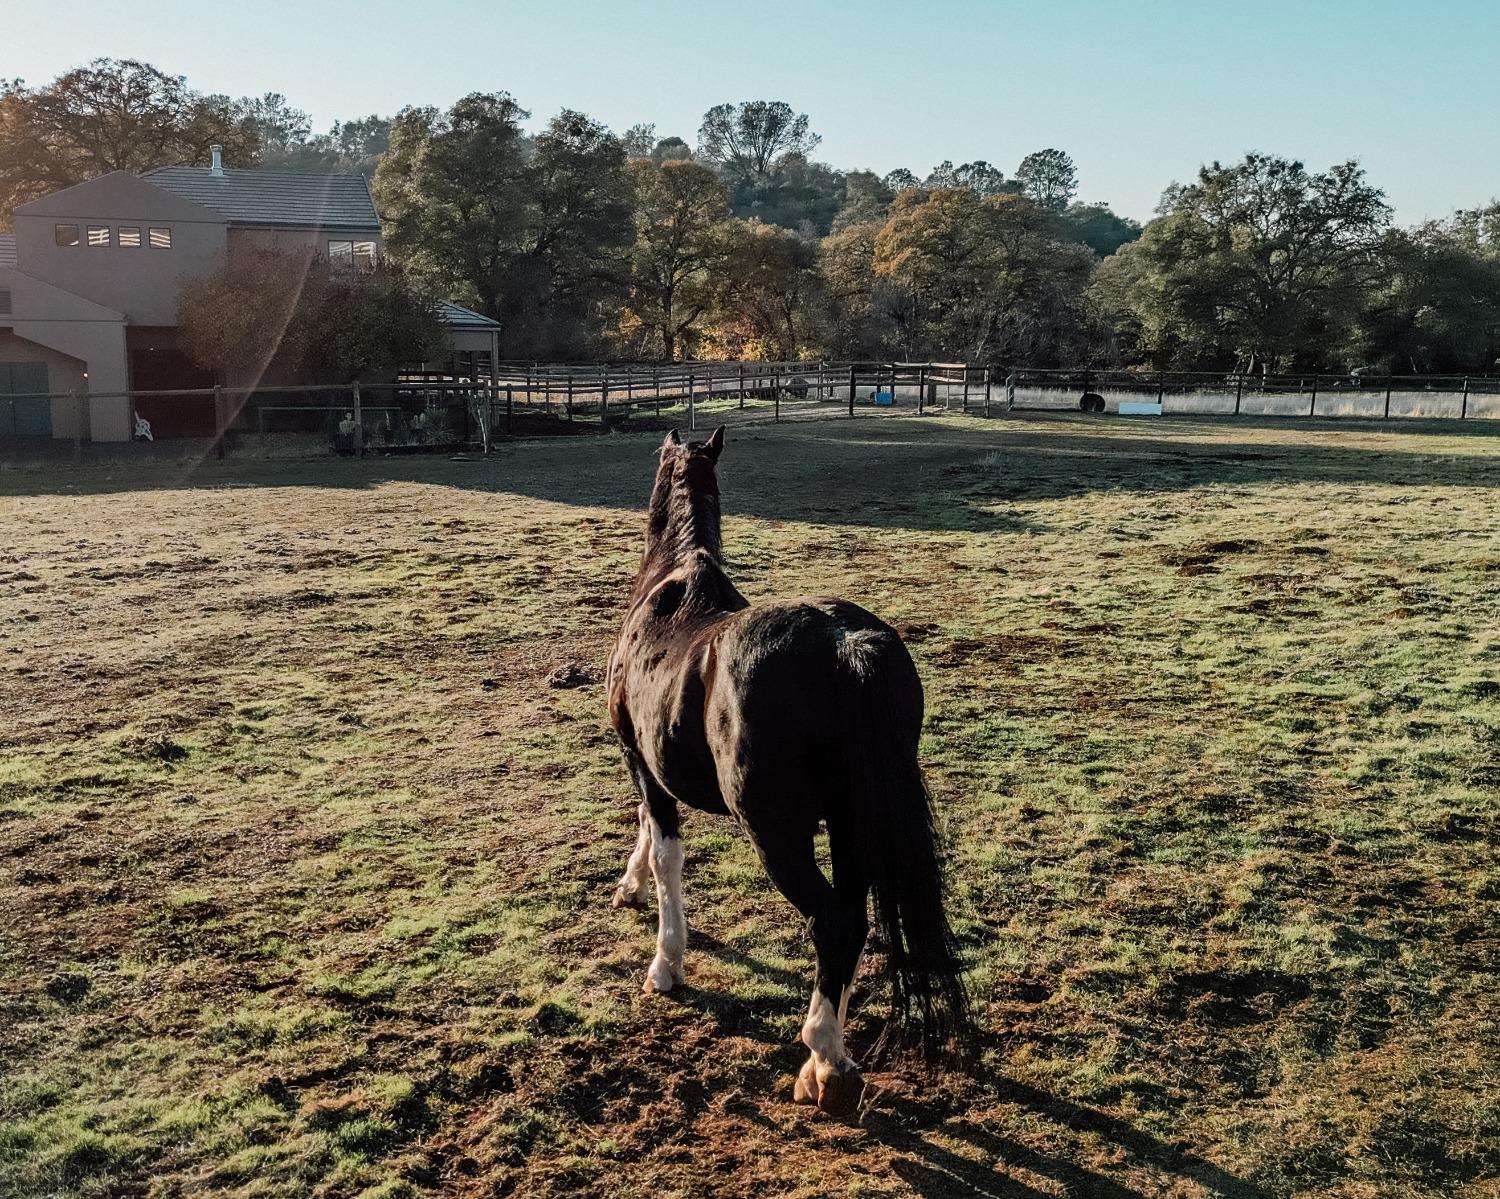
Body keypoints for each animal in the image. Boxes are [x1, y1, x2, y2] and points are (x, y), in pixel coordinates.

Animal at [606, 423, 972, 1116]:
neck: (670, 586)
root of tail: (846, 646)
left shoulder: (640, 759)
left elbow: (665, 849)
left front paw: (666, 963)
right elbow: (647, 828)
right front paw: (630, 886)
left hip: (780, 835)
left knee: (832, 920)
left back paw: (824, 1057)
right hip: (853, 822)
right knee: (852, 921)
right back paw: (828, 1058)